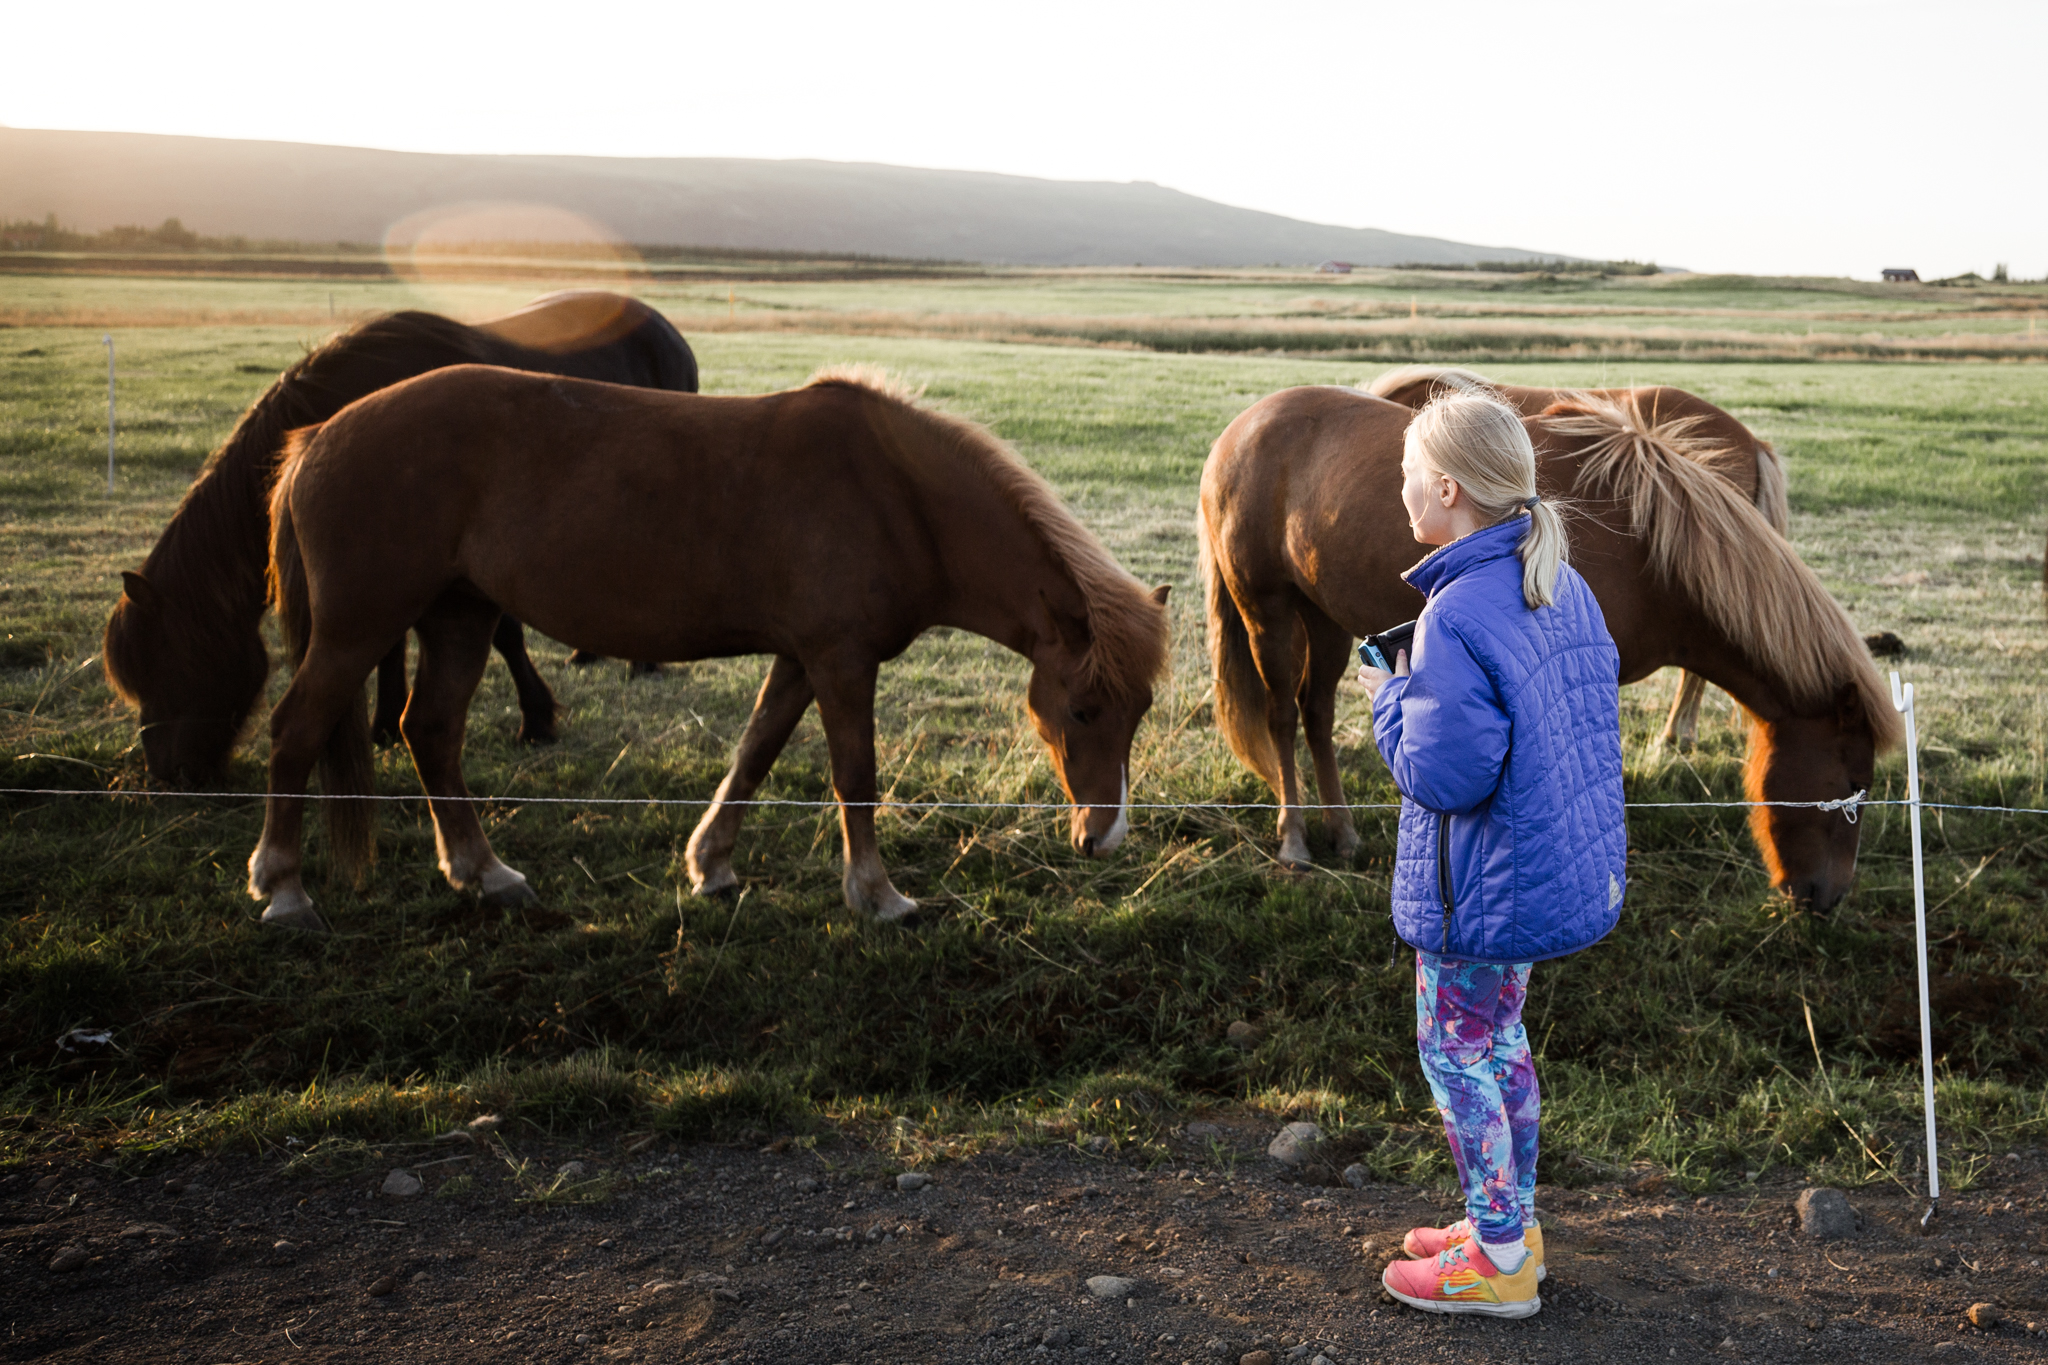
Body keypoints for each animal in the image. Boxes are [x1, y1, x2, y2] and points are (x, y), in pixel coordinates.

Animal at [101, 292, 696, 785]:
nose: (168, 774)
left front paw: (536, 720)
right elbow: (388, 645)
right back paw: (587, 652)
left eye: (169, 661)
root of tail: (661, 325)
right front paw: (385, 724)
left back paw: (641, 663)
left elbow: (504, 636)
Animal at [247, 368, 1171, 933]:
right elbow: (855, 775)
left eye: (1140, 710)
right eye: (1083, 707)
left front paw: (711, 866)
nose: (1105, 837)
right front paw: (878, 895)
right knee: (298, 731)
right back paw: (284, 887)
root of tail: (320, 434)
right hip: (358, 628)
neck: (897, 496)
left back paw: (487, 873)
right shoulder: (841, 660)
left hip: (459, 617)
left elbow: (755, 752)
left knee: (431, 730)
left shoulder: (802, 659)